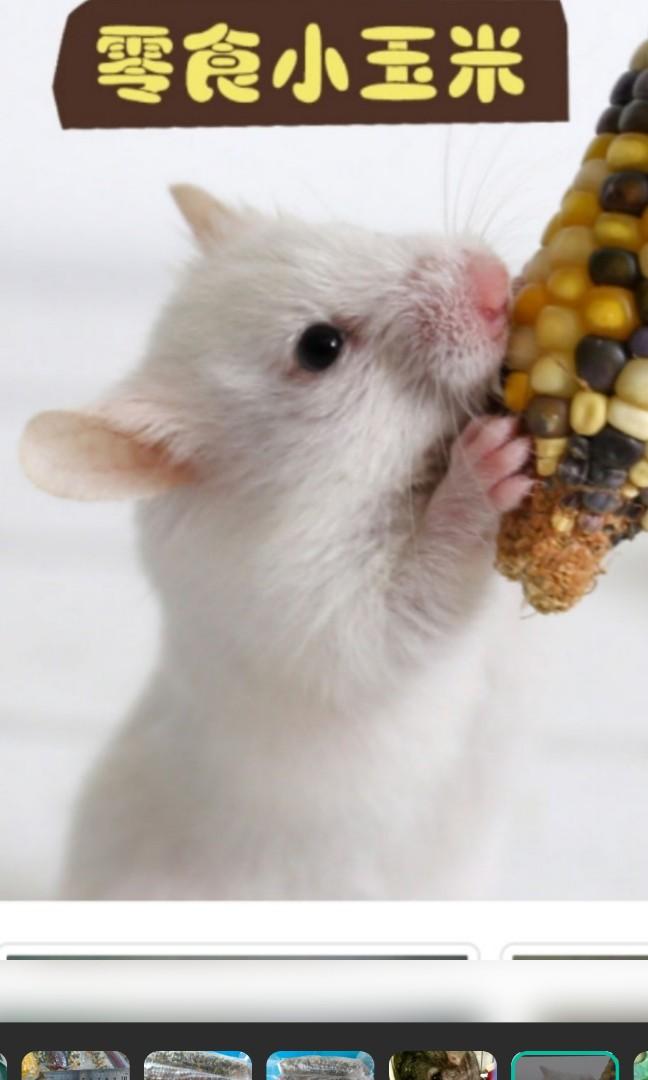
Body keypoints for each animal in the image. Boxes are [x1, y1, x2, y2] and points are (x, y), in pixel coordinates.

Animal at [21, 184, 531, 899]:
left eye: (350, 232)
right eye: (320, 347)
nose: (494, 281)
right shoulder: (314, 619)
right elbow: (413, 601)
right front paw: (489, 464)